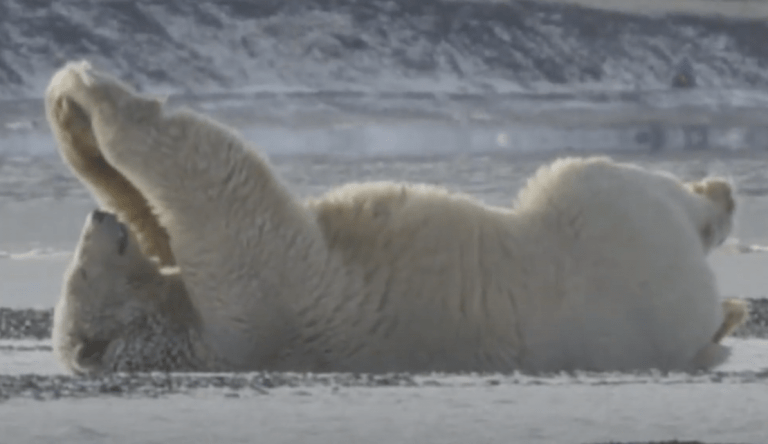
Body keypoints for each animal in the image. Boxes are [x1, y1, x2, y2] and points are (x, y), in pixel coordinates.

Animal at [46, 60, 747, 375]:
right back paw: (718, 212)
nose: (96, 223)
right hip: (607, 244)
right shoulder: (251, 298)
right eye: (79, 272)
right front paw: (86, 90)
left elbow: (160, 219)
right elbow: (213, 176)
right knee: (597, 181)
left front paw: (71, 115)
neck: (194, 336)